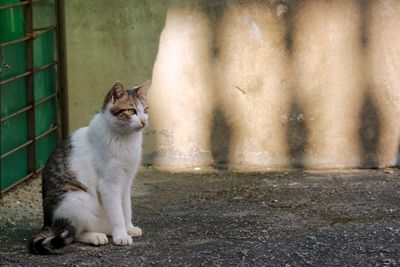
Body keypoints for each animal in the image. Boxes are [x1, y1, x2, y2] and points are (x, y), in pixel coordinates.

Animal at [28, 80, 150, 255]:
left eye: (146, 110)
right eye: (132, 111)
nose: (144, 121)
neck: (125, 139)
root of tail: (48, 223)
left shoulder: (126, 182)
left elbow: (126, 208)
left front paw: (129, 228)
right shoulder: (109, 184)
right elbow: (117, 212)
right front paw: (121, 234)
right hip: (78, 198)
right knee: (73, 234)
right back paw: (95, 236)